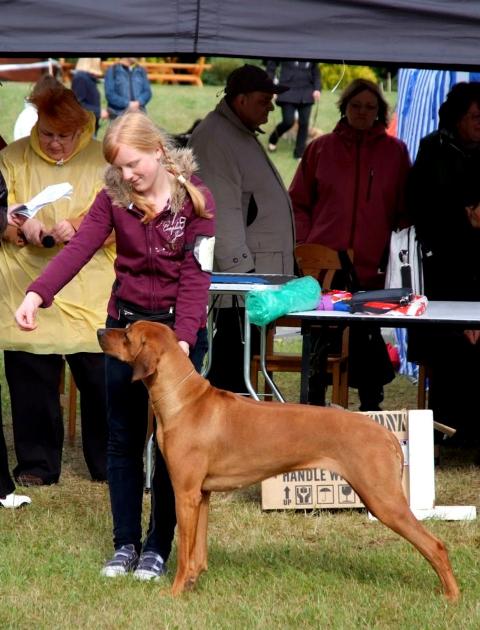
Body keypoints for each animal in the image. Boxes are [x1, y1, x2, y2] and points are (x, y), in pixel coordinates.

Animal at [95, 324, 460, 600]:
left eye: (126, 333)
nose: (99, 330)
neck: (184, 401)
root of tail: (386, 433)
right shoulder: (201, 495)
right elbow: (197, 551)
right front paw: (193, 584)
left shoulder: (184, 494)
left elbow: (184, 553)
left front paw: (175, 592)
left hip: (383, 499)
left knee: (436, 545)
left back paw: (451, 596)